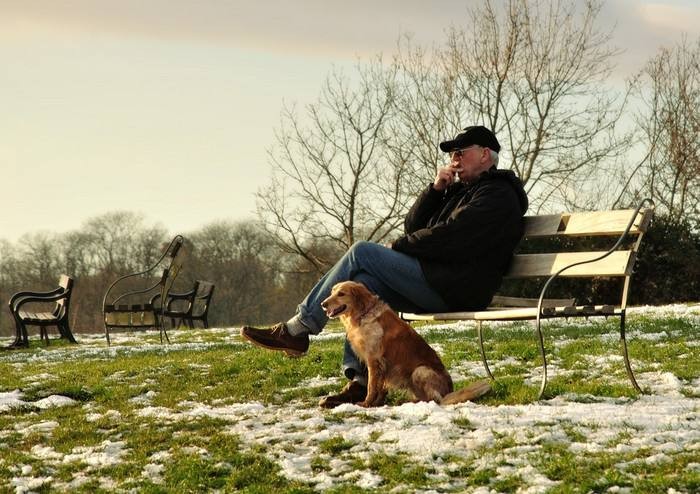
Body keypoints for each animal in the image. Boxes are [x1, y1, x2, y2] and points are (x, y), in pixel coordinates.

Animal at [320, 280, 490, 408]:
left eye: (341, 294)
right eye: (332, 292)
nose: (323, 304)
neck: (363, 314)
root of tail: (448, 391)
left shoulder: (374, 360)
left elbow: (371, 386)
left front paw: (366, 404)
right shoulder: (382, 365)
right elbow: (381, 387)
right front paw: (377, 403)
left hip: (420, 371)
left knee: (433, 400)